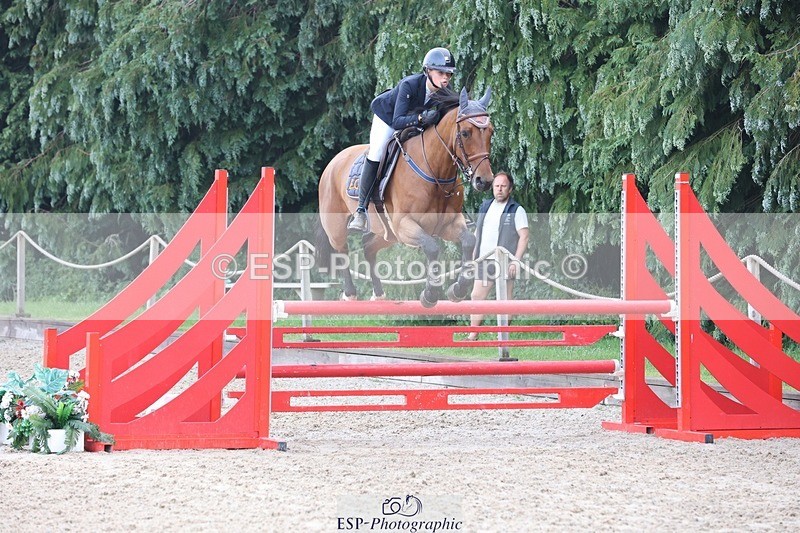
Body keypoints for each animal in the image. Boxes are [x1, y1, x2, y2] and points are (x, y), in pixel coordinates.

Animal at [316, 86, 494, 307]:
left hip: (387, 233)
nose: (484, 181)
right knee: (342, 251)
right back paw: (350, 293)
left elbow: (469, 241)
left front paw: (458, 289)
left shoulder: (449, 223)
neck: (435, 171)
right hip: (337, 224)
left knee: (368, 246)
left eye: (491, 132)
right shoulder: (404, 225)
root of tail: (333, 162)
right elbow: (432, 248)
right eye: (465, 133)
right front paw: (430, 294)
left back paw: (379, 293)